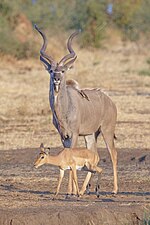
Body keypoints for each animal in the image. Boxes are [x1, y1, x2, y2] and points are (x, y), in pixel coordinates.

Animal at [34, 24, 118, 193]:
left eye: (63, 70)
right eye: (51, 70)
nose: (56, 79)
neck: (65, 110)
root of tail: (110, 102)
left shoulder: (73, 134)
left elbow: (71, 155)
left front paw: (70, 192)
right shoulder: (63, 136)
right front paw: (73, 191)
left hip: (107, 130)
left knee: (113, 154)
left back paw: (114, 189)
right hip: (91, 135)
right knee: (95, 154)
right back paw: (85, 189)